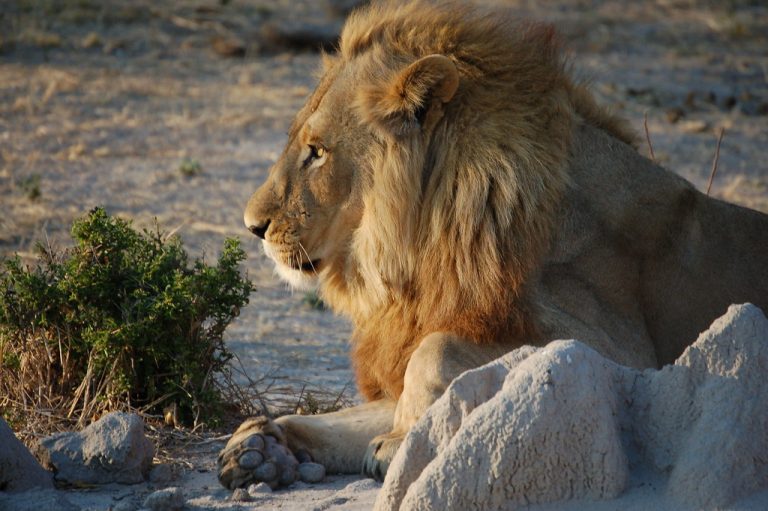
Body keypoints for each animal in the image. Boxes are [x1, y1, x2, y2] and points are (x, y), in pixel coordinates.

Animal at [218, 0, 768, 489]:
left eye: (318, 152)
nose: (252, 226)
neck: (428, 244)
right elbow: (366, 411)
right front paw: (264, 444)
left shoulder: (627, 359)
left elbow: (434, 350)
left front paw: (395, 443)